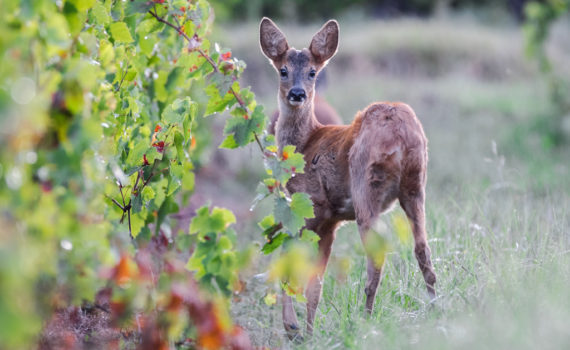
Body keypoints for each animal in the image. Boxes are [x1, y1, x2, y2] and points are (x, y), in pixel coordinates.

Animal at [260, 17, 438, 340]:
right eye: (283, 70)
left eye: (312, 72)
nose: (297, 94)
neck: (306, 144)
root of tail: (401, 132)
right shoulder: (328, 220)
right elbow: (310, 279)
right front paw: (303, 330)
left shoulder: (314, 209)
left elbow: (299, 271)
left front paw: (297, 330)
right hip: (415, 185)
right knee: (423, 250)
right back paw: (435, 309)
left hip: (366, 184)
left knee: (376, 257)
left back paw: (365, 321)